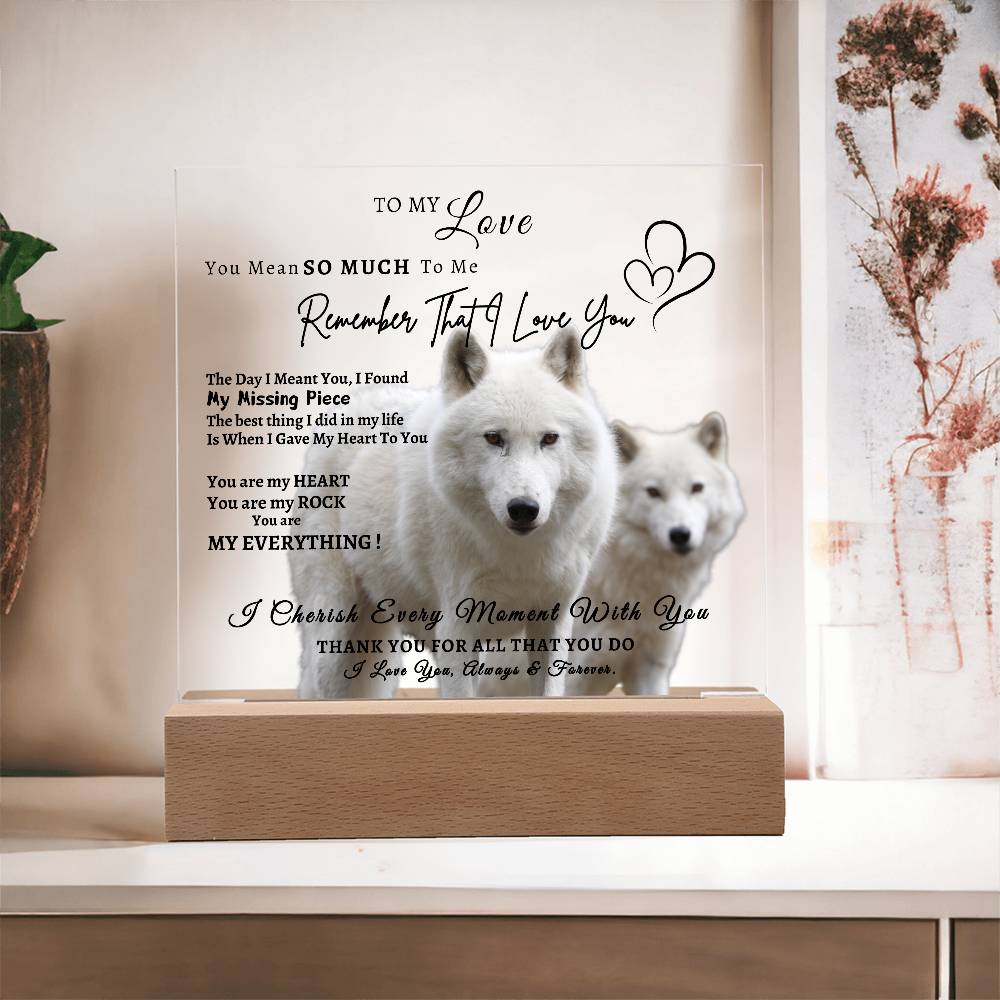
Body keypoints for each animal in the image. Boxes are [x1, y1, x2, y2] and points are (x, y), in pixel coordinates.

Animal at [290, 328, 619, 698]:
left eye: (549, 439)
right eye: (493, 438)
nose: (523, 509)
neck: (519, 557)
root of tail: (356, 401)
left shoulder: (552, 619)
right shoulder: (456, 625)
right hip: (335, 634)